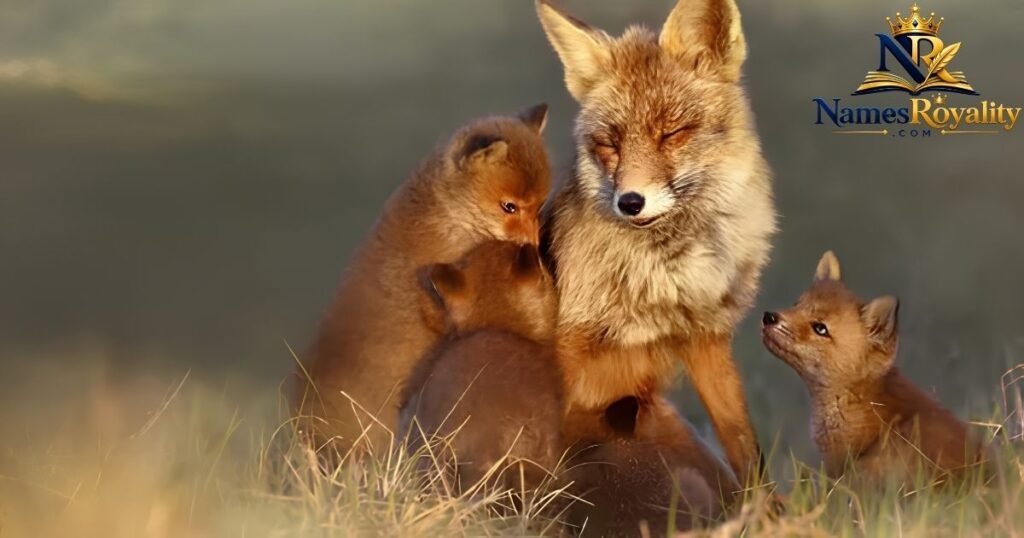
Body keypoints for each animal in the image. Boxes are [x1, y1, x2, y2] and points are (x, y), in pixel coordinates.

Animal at [535, 0, 776, 486]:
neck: (661, 279)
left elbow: (744, 446)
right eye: (609, 144)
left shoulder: (706, 338)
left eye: (672, 133)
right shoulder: (569, 348)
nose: (630, 202)